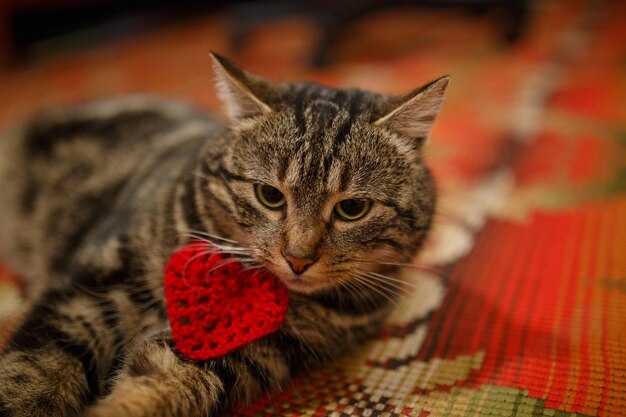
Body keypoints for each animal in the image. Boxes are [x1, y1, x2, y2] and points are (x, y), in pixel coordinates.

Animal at [0, 54, 446, 416]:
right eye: (269, 195)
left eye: (352, 209)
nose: (298, 259)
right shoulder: (90, 286)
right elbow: (35, 371)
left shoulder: (231, 354)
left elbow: (155, 390)